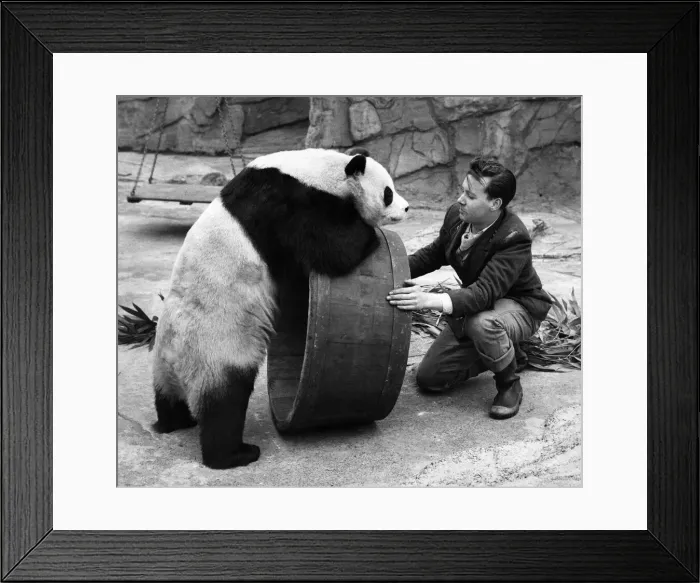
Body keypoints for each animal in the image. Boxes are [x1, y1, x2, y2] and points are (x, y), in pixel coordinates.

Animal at [151, 148, 409, 470]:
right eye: (388, 192)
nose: (407, 208)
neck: (315, 170)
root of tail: (175, 361)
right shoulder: (287, 204)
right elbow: (333, 249)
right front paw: (369, 233)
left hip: (166, 357)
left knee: (167, 396)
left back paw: (173, 422)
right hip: (215, 348)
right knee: (224, 402)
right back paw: (235, 454)